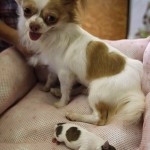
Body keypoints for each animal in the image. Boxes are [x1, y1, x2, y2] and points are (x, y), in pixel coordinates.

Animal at [15, 0, 145, 125]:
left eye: (51, 18)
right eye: (27, 11)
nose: (34, 25)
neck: (53, 35)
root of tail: (137, 90)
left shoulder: (64, 73)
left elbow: (65, 90)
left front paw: (61, 104)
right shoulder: (53, 66)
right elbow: (50, 78)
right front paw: (45, 88)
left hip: (97, 93)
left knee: (99, 118)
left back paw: (74, 115)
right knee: (82, 90)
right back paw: (58, 91)